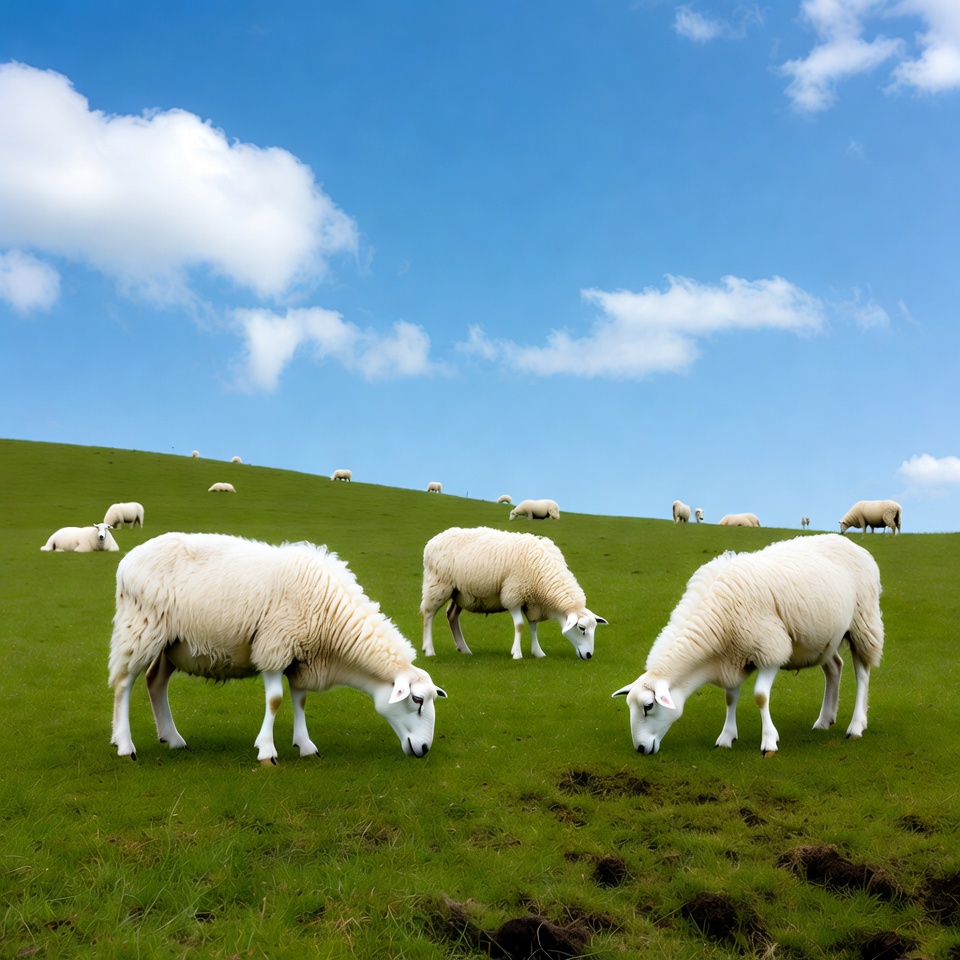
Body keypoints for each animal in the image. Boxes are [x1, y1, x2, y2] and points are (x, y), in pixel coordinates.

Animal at [109, 532, 447, 763]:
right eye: (416, 700)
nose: (424, 749)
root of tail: (127, 560)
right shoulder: (274, 645)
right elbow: (275, 700)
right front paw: (267, 751)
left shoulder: (301, 656)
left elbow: (300, 700)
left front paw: (305, 746)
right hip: (140, 628)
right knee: (124, 683)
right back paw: (125, 745)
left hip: (172, 643)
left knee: (155, 682)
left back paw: (173, 738)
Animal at [420, 526, 607, 660]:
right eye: (581, 628)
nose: (589, 655)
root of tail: (434, 540)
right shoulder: (513, 594)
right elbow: (520, 625)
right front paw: (516, 653)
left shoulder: (532, 601)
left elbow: (533, 625)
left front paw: (538, 652)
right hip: (438, 584)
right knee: (429, 614)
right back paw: (429, 650)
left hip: (460, 593)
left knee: (452, 615)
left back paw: (464, 649)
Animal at [612, 534, 883, 756]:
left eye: (648, 706)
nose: (640, 748)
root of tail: (853, 544)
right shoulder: (732, 657)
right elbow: (730, 698)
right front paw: (726, 737)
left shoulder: (770, 649)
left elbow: (761, 697)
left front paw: (769, 742)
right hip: (824, 639)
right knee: (835, 668)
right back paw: (824, 721)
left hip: (863, 622)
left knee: (862, 674)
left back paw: (856, 726)